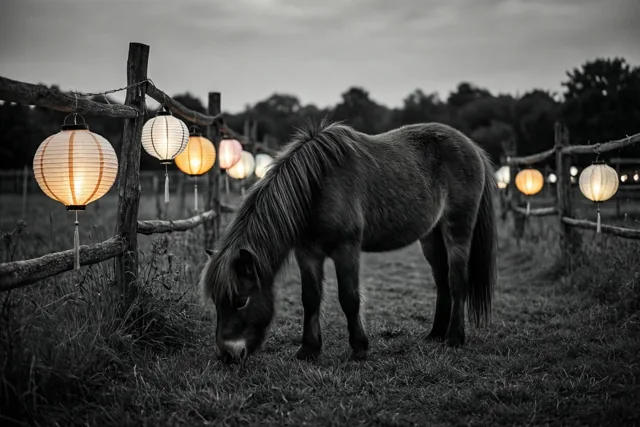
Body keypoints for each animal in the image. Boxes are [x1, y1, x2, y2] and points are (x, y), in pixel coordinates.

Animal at [200, 119, 497, 364]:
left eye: (241, 300)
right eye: (216, 301)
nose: (227, 355)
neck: (315, 186)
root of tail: (472, 147)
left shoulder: (346, 250)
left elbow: (349, 298)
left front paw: (359, 348)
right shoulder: (307, 253)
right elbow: (310, 298)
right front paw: (308, 350)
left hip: (458, 229)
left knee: (457, 280)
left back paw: (454, 338)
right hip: (431, 237)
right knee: (442, 281)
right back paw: (435, 333)